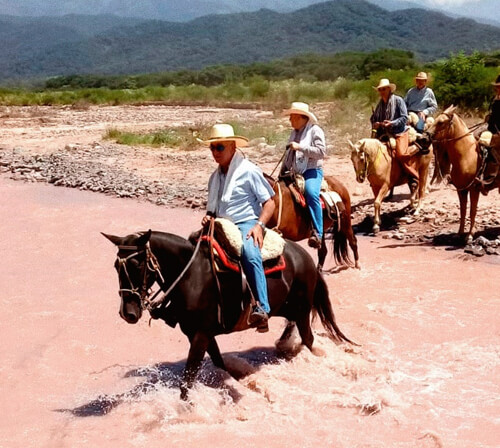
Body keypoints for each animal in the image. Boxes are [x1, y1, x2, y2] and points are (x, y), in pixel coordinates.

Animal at [101, 229, 352, 400]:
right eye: (116, 266)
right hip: (288, 308)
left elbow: (188, 379)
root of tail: (307, 259)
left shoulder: (200, 335)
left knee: (308, 340)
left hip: (301, 310)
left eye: (137, 264)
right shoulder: (199, 334)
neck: (192, 276)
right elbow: (218, 363)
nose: (128, 312)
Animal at [422, 105, 500, 242]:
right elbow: (463, 211)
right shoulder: (461, 190)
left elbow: (472, 211)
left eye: (441, 122)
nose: (422, 138)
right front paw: (459, 233)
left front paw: (470, 235)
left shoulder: (474, 189)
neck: (466, 155)